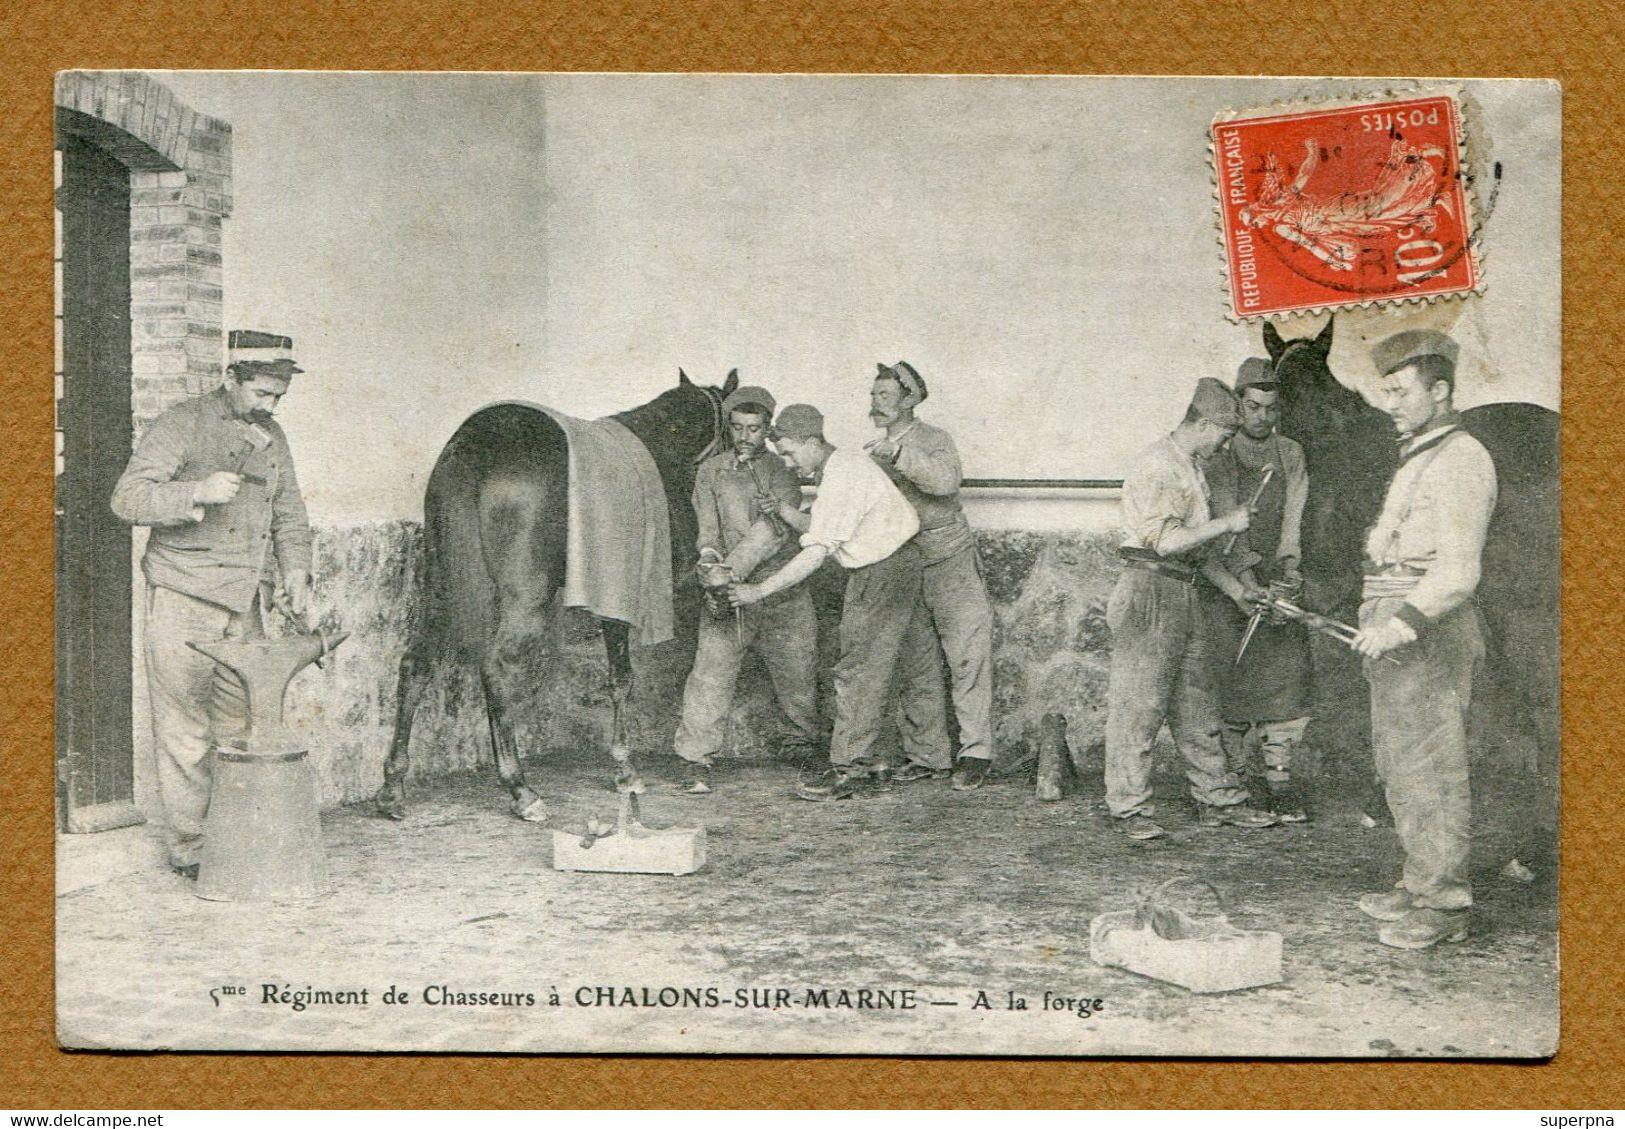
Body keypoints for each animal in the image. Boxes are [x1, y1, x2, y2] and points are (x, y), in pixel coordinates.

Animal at [373, 370, 737, 821]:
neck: (657, 449)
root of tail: (479, 447)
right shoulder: (615, 597)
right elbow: (621, 680)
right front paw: (625, 770)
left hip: (442, 587)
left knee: (416, 664)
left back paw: (393, 787)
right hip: (526, 597)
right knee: (497, 668)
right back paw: (521, 789)